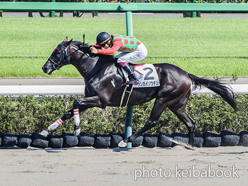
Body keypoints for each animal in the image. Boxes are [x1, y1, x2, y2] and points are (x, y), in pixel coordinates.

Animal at [40, 37, 240, 148]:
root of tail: (185, 73)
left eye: (58, 51)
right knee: (190, 123)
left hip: (163, 99)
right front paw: (46, 130)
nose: (45, 68)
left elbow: (75, 103)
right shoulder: (91, 98)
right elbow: (69, 111)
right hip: (177, 104)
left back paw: (125, 140)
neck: (96, 68)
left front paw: (77, 130)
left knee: (151, 121)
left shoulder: (101, 100)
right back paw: (191, 147)